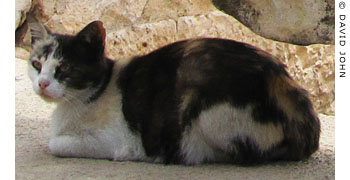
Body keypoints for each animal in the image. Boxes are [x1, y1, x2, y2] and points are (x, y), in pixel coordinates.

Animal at [26, 15, 320, 166]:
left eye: (64, 69)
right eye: (36, 64)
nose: (42, 84)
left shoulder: (116, 141)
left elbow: (55, 143)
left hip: (202, 108)